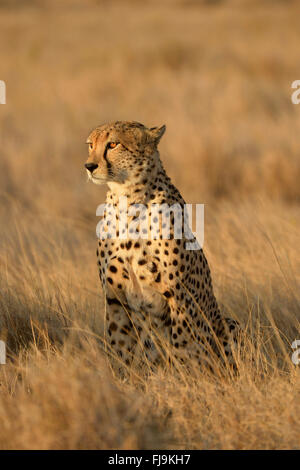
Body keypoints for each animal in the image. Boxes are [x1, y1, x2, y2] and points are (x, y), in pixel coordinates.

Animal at [84, 121, 241, 374]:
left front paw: (186, 378)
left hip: (228, 323)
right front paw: (122, 377)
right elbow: (120, 345)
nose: (89, 166)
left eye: (113, 144)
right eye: (91, 145)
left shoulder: (178, 294)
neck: (127, 199)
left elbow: (182, 344)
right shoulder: (114, 297)